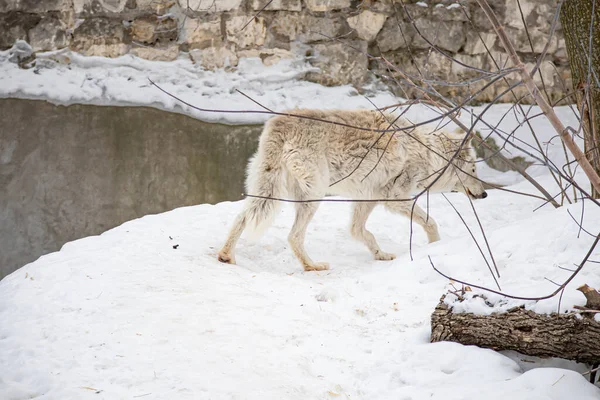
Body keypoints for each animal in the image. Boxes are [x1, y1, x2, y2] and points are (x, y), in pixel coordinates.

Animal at [217, 109, 488, 272]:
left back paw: (226, 256)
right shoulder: (395, 199)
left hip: (267, 192)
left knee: (241, 219)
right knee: (293, 236)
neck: (430, 151)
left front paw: (380, 255)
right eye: (474, 169)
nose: (485, 194)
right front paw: (435, 246)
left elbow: (360, 231)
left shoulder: (366, 199)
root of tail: (280, 122)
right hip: (313, 196)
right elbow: (431, 222)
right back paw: (312, 267)